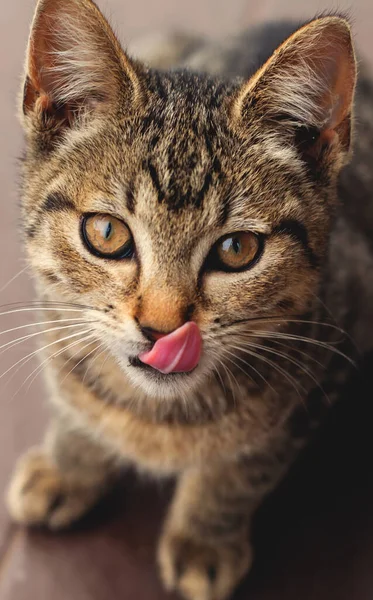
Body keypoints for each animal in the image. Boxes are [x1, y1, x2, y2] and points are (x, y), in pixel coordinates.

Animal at [6, 1, 372, 600]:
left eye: (237, 249)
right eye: (106, 233)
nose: (162, 328)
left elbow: (245, 466)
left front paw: (204, 538)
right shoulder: (56, 320)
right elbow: (73, 397)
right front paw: (68, 465)